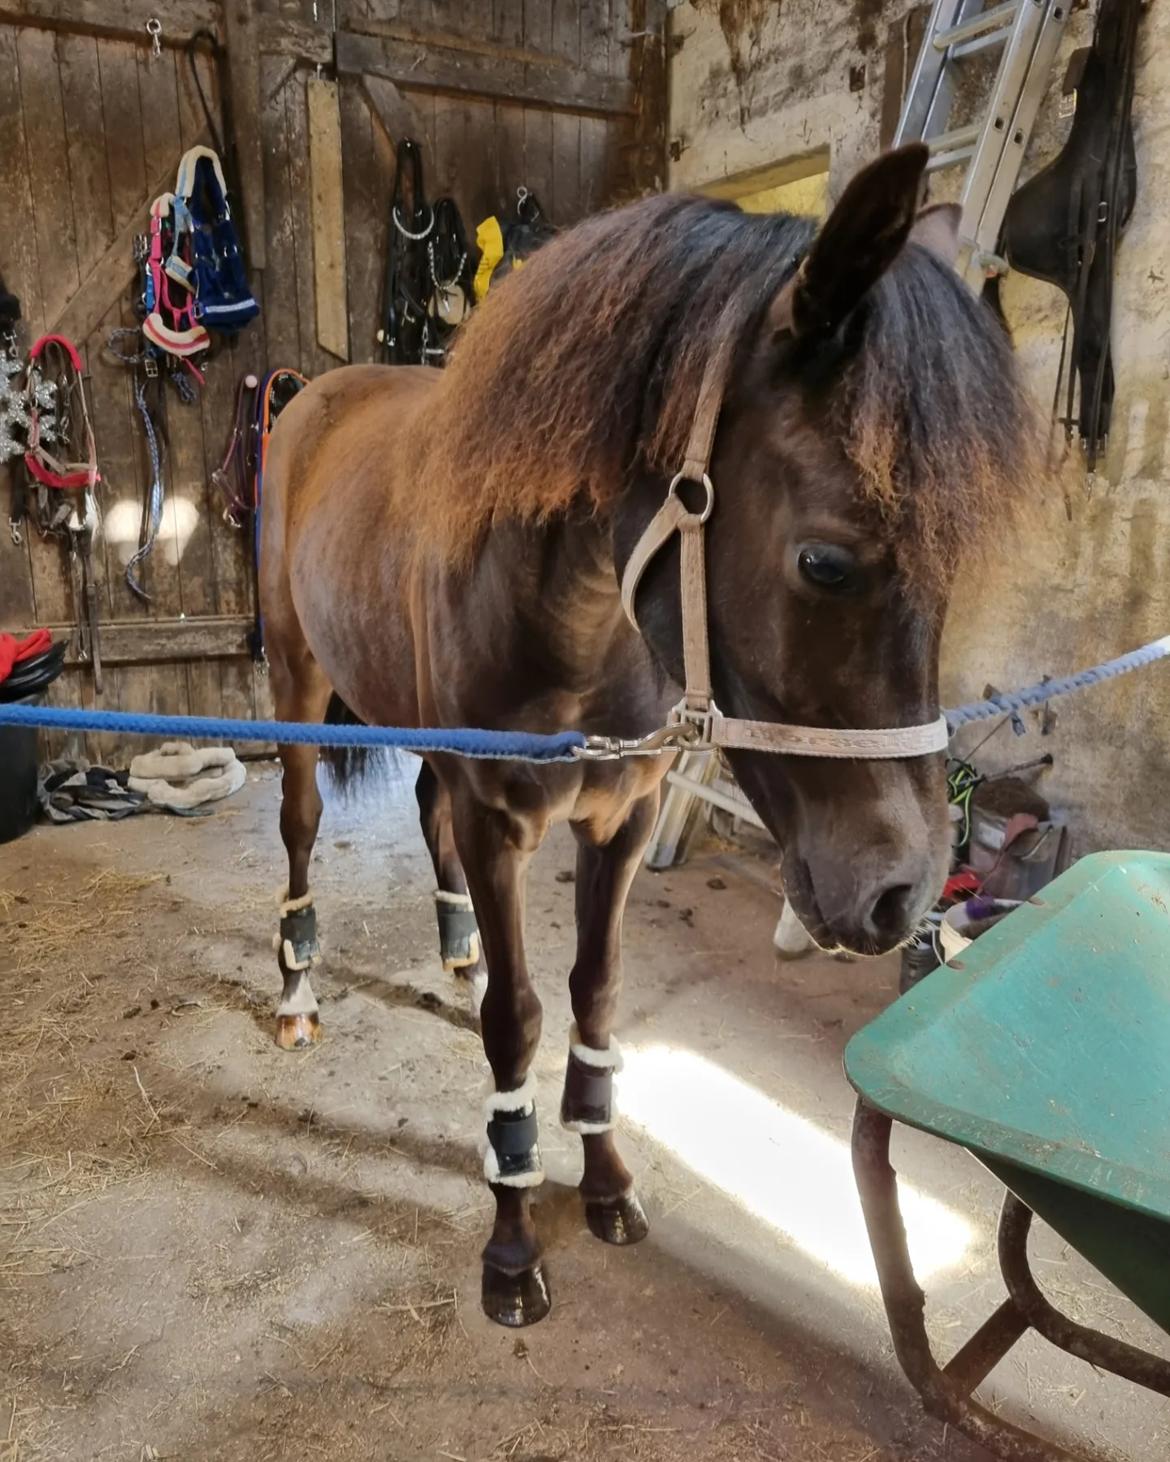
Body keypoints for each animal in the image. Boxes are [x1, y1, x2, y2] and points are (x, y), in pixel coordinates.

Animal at [259, 144, 1037, 1327]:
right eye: (825, 561)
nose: (902, 894)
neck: (573, 616)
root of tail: (316, 394)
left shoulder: (618, 819)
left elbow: (594, 990)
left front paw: (605, 1176)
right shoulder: (500, 825)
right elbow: (520, 1018)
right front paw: (514, 1235)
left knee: (425, 811)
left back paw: (455, 952)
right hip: (297, 681)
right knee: (302, 825)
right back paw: (300, 990)